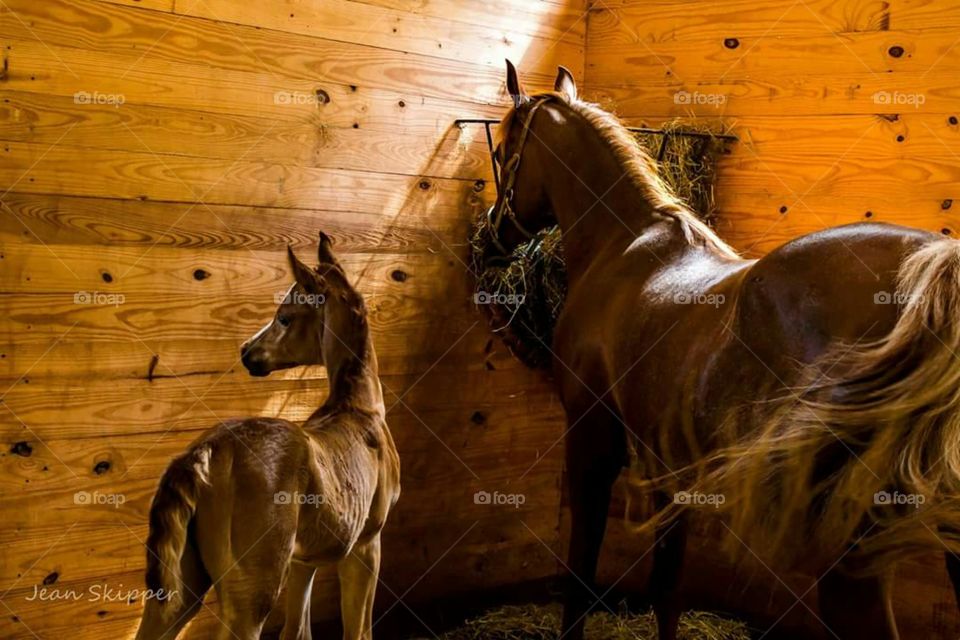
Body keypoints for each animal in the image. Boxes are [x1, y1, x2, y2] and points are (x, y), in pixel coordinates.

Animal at [134, 234, 400, 640]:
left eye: (285, 317)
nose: (246, 352)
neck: (358, 409)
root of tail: (203, 454)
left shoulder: (304, 560)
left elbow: (298, 630)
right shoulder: (367, 544)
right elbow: (358, 630)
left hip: (179, 589)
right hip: (253, 593)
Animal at [487, 61, 960, 640]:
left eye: (504, 151)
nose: (492, 232)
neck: (622, 249)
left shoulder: (592, 437)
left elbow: (581, 574)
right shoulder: (670, 467)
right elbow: (667, 588)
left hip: (851, 555)